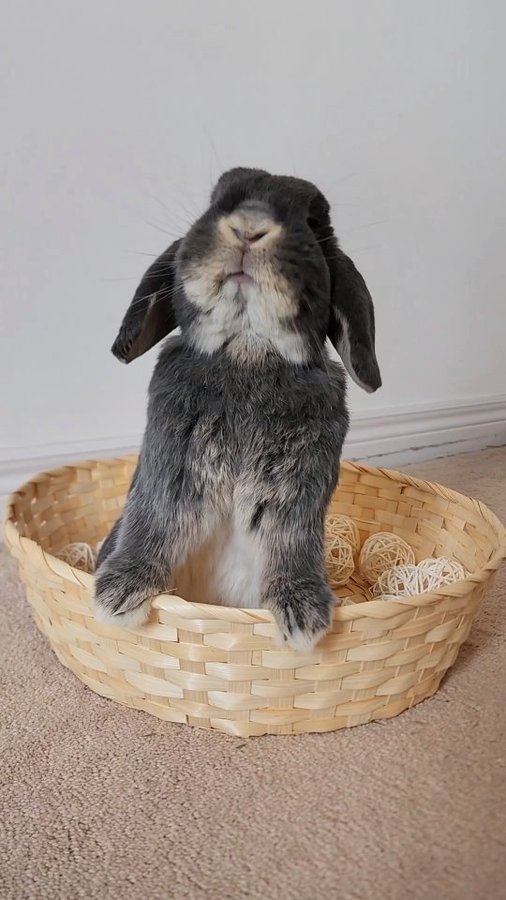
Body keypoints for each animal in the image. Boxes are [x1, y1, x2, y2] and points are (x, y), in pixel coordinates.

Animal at [94, 167, 381, 649]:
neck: (248, 349)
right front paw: (118, 593)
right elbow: (152, 520)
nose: (250, 225)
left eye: (315, 221)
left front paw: (304, 614)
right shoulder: (168, 467)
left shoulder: (298, 494)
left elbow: (291, 544)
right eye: (215, 202)